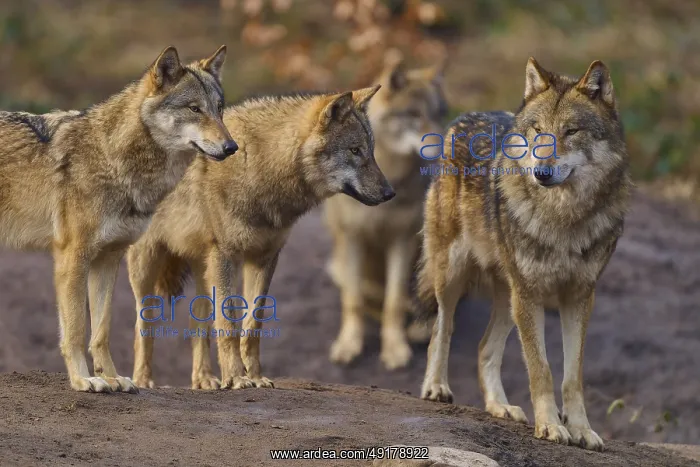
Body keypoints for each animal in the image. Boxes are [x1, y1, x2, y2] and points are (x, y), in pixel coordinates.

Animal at [0, 45, 237, 393]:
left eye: (219, 110)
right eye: (195, 109)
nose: (232, 147)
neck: (113, 158)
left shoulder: (108, 258)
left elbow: (101, 331)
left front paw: (111, 377)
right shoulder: (73, 256)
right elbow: (75, 330)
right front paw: (83, 380)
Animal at [128, 85, 394, 390]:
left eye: (371, 151)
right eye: (354, 150)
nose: (390, 193)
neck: (259, 168)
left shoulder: (265, 258)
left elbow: (252, 324)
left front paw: (254, 376)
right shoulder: (227, 257)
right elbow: (229, 324)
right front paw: (235, 377)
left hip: (203, 272)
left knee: (199, 327)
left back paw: (204, 380)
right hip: (148, 270)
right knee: (143, 326)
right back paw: (143, 381)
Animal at [323, 58, 448, 369]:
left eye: (440, 114)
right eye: (414, 114)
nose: (445, 143)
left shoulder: (400, 241)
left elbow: (394, 301)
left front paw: (394, 348)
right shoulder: (353, 239)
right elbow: (353, 302)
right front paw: (349, 344)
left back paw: (420, 327)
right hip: (340, 263)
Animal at [416, 58, 630, 451]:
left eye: (571, 131)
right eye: (538, 130)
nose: (541, 173)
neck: (562, 217)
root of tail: (462, 117)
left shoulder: (579, 297)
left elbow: (572, 376)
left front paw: (581, 429)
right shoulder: (531, 294)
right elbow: (541, 369)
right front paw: (550, 426)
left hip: (508, 297)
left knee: (484, 348)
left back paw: (500, 407)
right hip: (455, 277)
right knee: (442, 329)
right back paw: (436, 387)